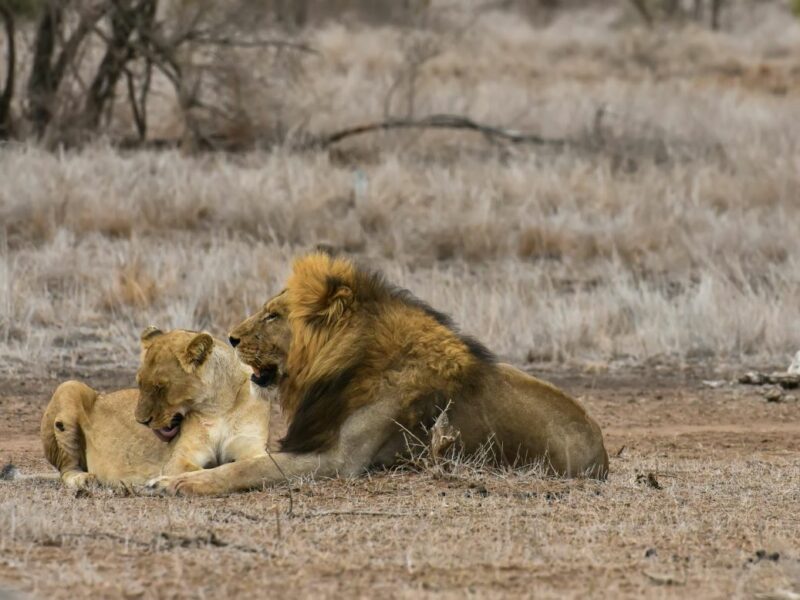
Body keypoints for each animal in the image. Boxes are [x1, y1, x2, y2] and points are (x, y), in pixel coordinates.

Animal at [41, 328, 271, 489]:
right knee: (67, 469)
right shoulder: (177, 460)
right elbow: (194, 469)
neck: (219, 405)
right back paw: (83, 479)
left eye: (160, 387)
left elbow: (241, 467)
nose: (141, 421)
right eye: (139, 383)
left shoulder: (252, 450)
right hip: (69, 386)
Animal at [151, 253, 609, 496]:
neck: (352, 364)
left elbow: (252, 468)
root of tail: (602, 452)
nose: (230, 338)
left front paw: (176, 482)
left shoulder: (341, 461)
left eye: (273, 316)